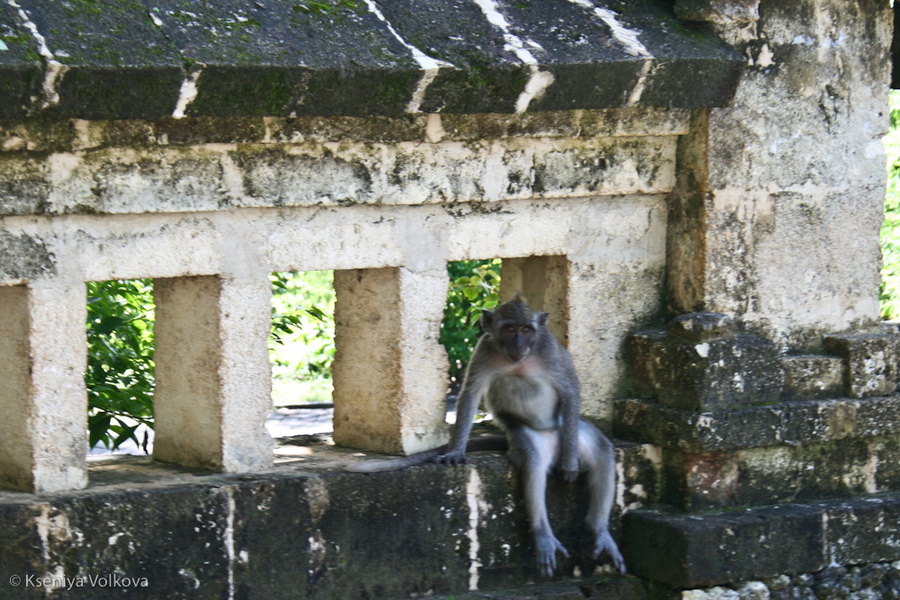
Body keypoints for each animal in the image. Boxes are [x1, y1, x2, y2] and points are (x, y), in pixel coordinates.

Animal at [344, 292, 624, 580]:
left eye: (526, 329)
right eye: (510, 329)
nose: (518, 344)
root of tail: (551, 434)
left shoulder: (550, 350)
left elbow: (570, 391)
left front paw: (569, 463)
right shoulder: (484, 350)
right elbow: (470, 394)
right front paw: (456, 451)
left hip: (570, 429)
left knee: (602, 449)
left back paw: (599, 530)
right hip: (524, 435)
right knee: (534, 462)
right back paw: (545, 535)